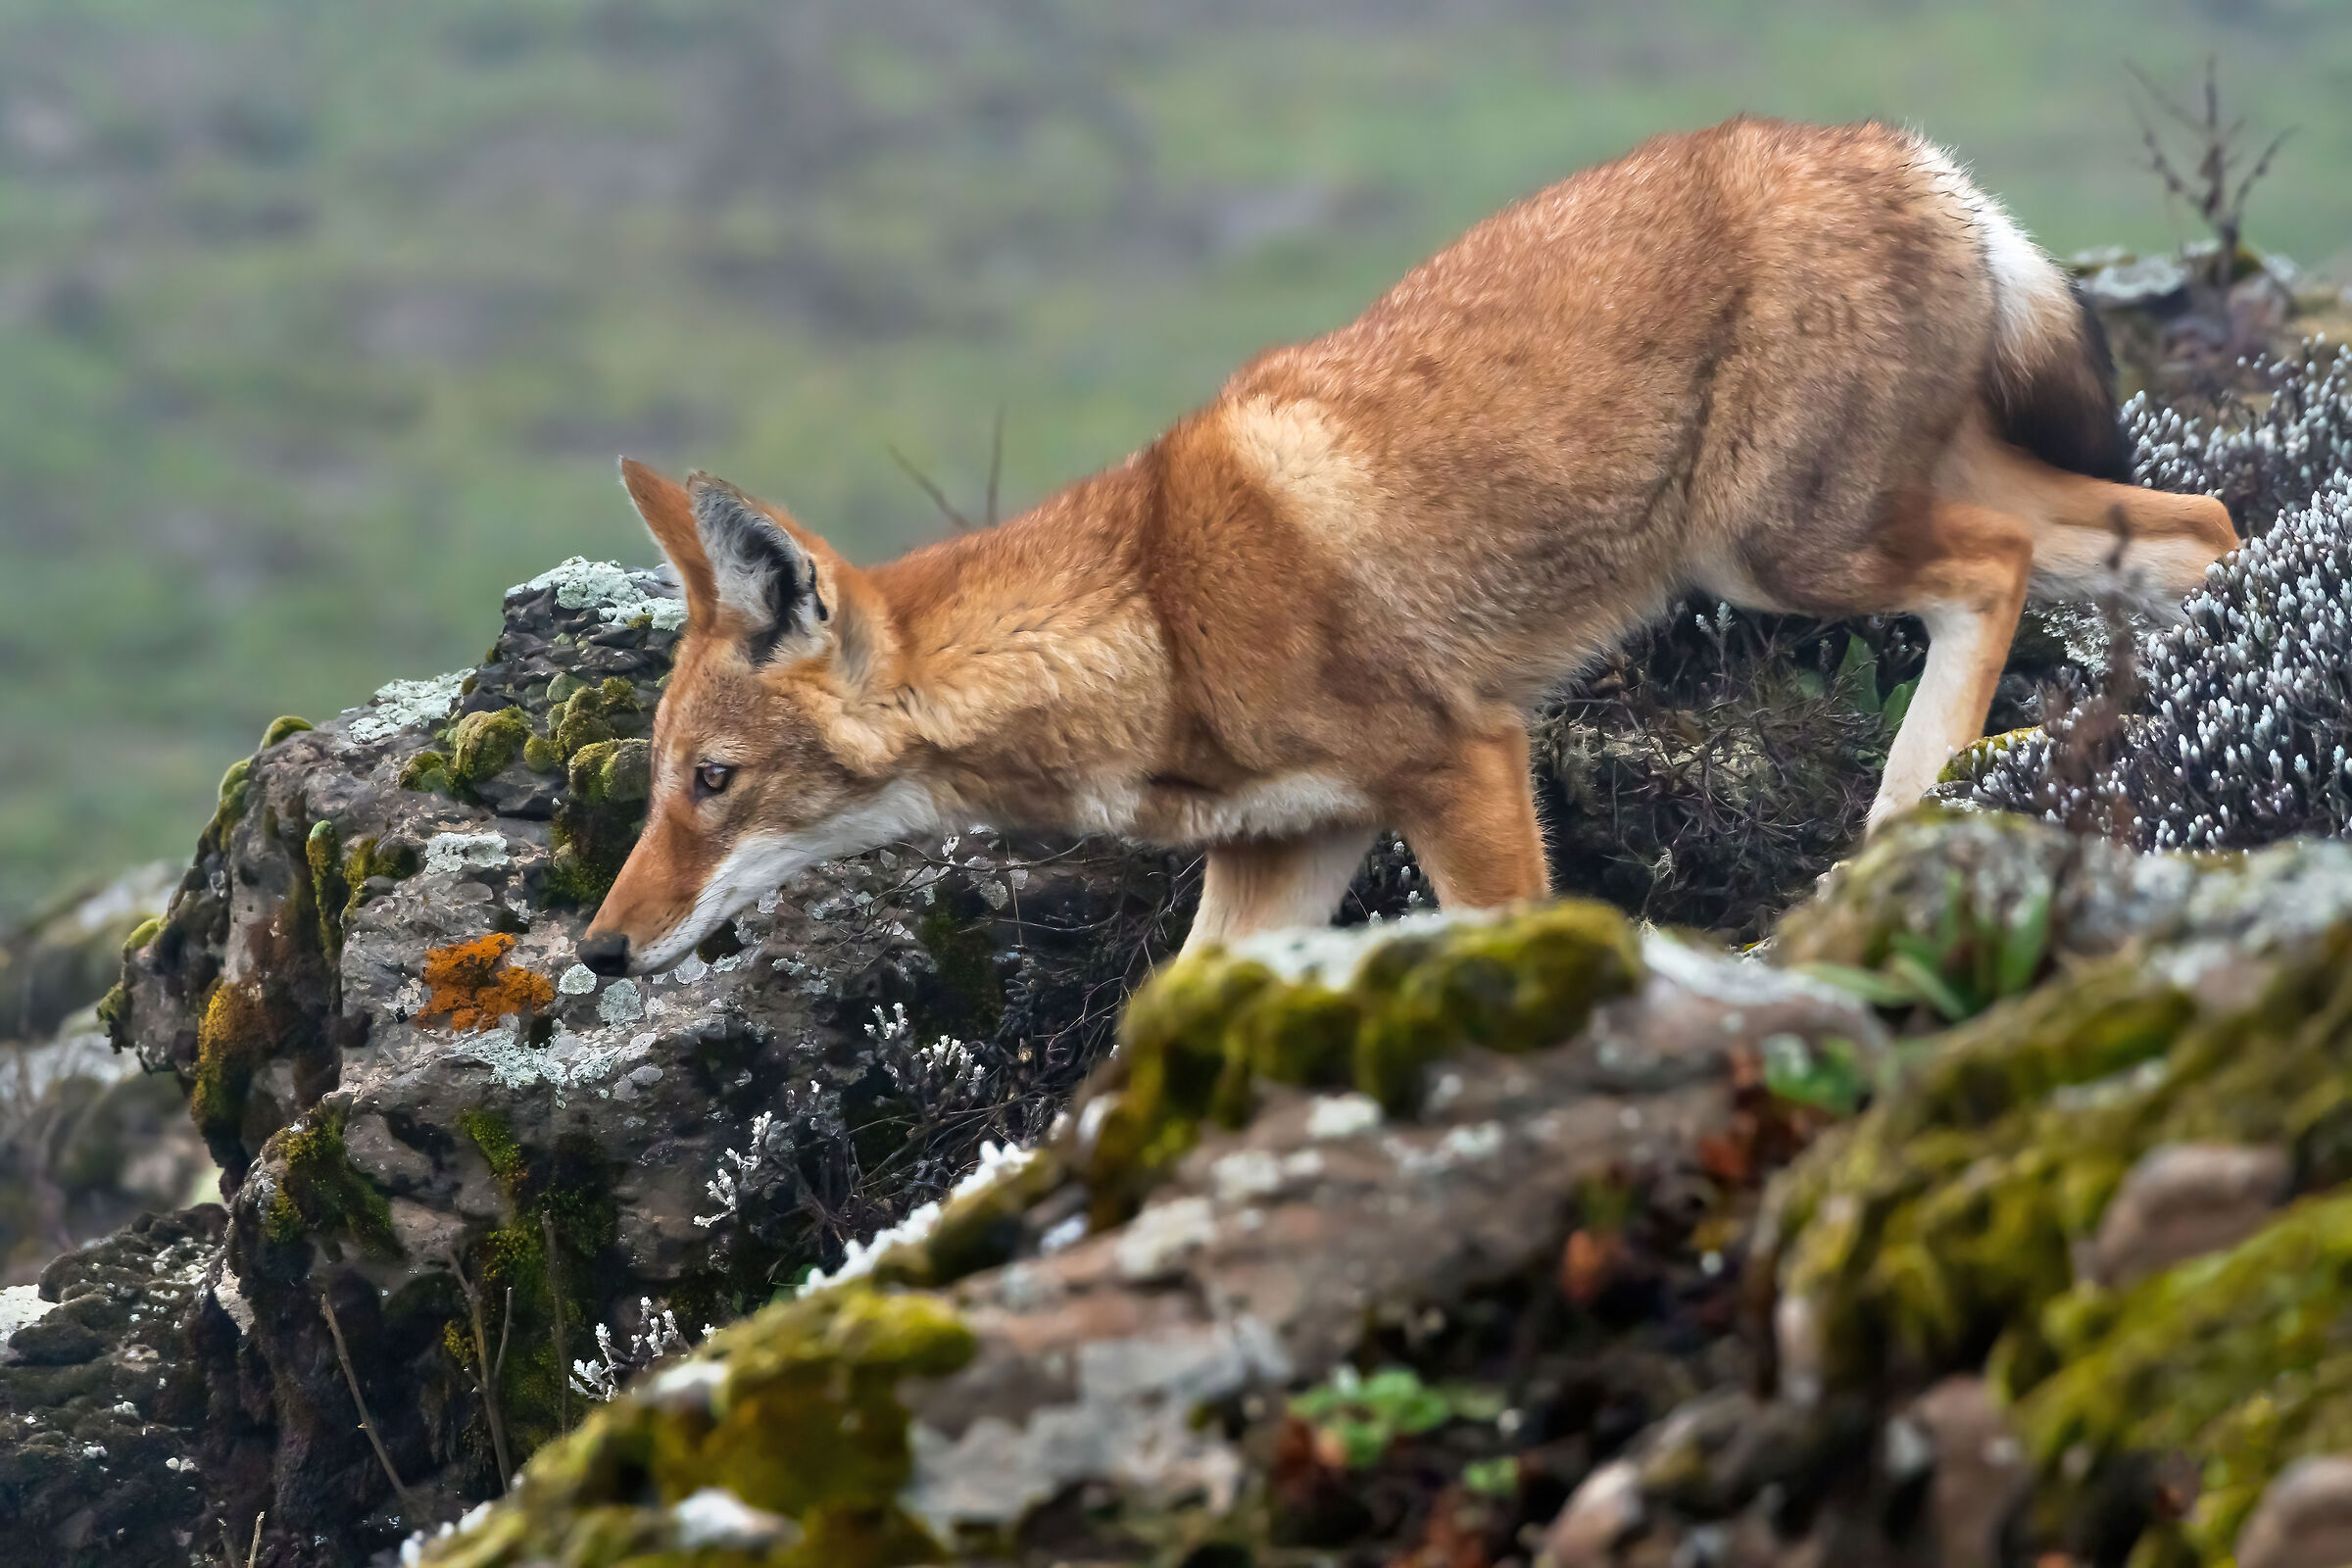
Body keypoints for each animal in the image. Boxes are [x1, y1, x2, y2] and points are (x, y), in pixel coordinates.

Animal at [577, 117, 2236, 976]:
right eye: (661, 788)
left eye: (710, 785)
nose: (594, 954)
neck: (1150, 618)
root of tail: (1904, 150)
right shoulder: (1283, 857)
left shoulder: (1465, 765)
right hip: (1917, 517)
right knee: (2203, 530)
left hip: (1784, 557)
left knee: (1997, 575)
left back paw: (1909, 825)